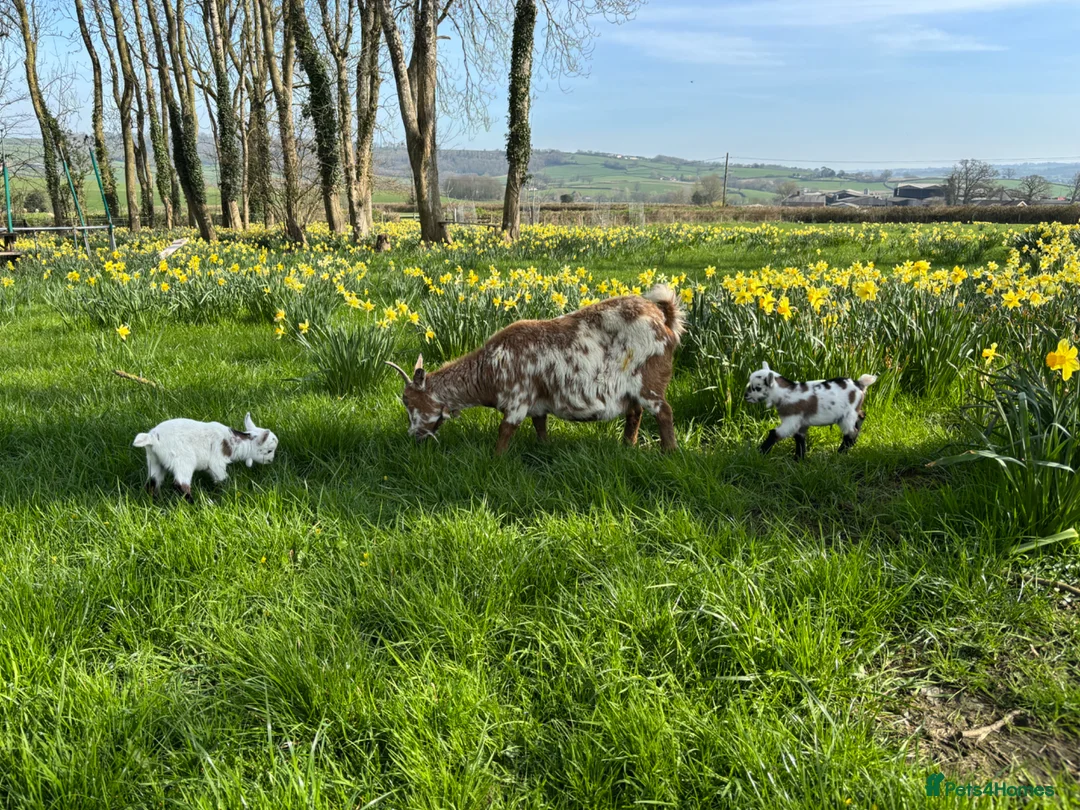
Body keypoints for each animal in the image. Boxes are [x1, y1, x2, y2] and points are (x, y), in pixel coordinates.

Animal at [133, 413, 278, 501]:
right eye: (269, 451)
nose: (271, 461)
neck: (234, 442)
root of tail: (152, 438)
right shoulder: (217, 462)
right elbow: (222, 478)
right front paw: (226, 491)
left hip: (153, 460)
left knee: (152, 482)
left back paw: (155, 502)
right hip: (183, 460)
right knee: (180, 484)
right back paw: (194, 504)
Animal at [387, 285, 685, 454]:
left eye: (411, 403)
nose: (413, 436)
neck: (490, 366)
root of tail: (663, 319)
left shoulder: (517, 400)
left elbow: (504, 433)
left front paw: (496, 461)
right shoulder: (538, 404)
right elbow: (540, 427)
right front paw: (544, 450)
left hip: (649, 381)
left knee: (664, 412)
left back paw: (668, 452)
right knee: (634, 414)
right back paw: (627, 446)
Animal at [744, 362, 877, 459]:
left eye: (757, 388)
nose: (745, 396)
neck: (786, 392)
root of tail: (859, 384)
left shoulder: (791, 421)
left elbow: (774, 433)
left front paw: (759, 453)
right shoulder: (801, 423)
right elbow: (799, 439)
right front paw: (799, 460)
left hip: (847, 416)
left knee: (851, 433)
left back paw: (839, 454)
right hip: (855, 410)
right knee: (861, 415)